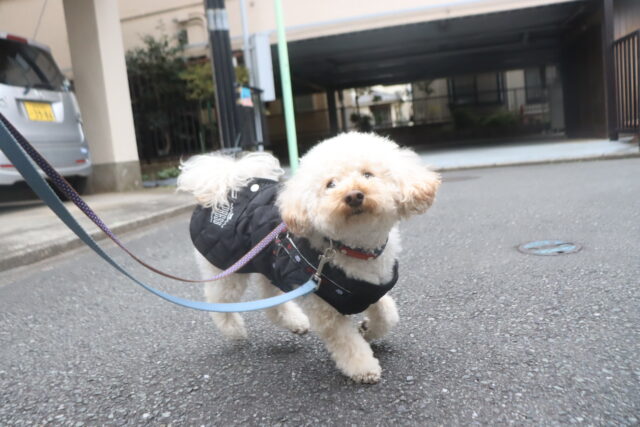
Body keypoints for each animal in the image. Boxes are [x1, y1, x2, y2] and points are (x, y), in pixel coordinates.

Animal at [177, 132, 440, 383]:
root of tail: (223, 187)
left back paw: (295, 322)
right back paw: (234, 330)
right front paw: (363, 368)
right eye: (330, 184)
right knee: (218, 300)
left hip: (270, 264)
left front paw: (368, 329)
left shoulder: (370, 288)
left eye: (368, 174)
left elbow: (388, 314)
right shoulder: (324, 308)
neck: (353, 248)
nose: (354, 195)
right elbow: (347, 343)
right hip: (227, 268)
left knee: (271, 302)